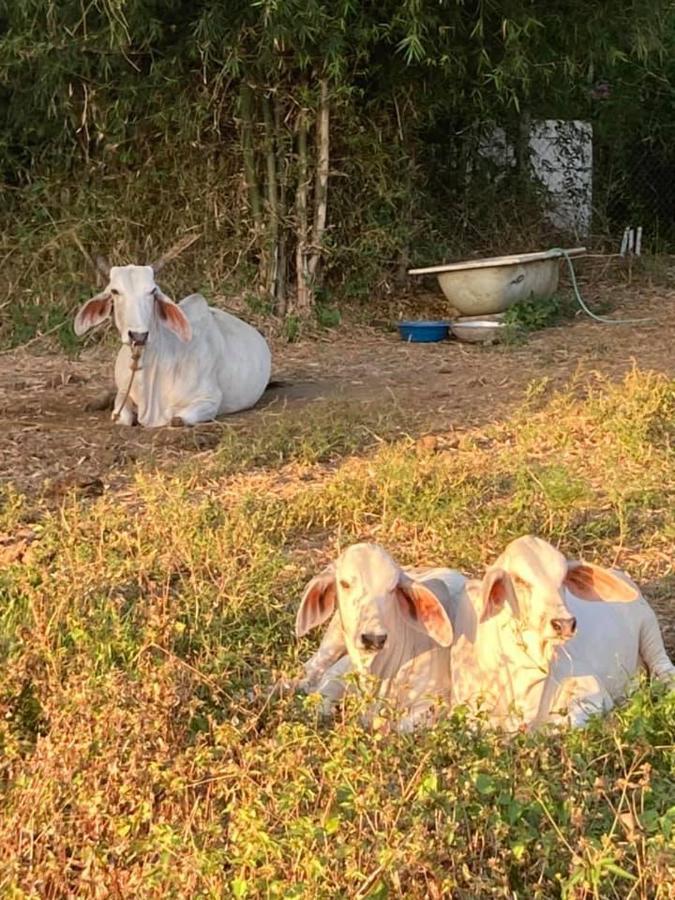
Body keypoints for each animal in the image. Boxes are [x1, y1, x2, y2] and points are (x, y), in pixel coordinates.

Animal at [74, 262, 272, 428]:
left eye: (152, 291)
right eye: (115, 291)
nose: (139, 335)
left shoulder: (209, 399)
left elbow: (177, 419)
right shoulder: (124, 392)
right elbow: (122, 415)